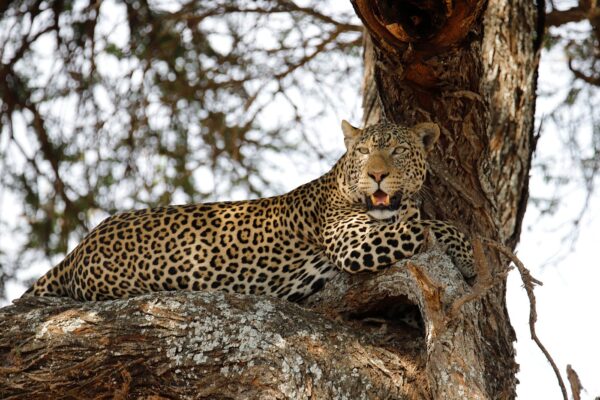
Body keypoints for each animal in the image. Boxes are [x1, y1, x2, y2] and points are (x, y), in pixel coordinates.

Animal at [22, 120, 474, 302]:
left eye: (398, 151)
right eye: (363, 152)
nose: (377, 176)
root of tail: (79, 247)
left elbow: (427, 220)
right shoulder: (355, 242)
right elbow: (429, 224)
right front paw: (466, 252)